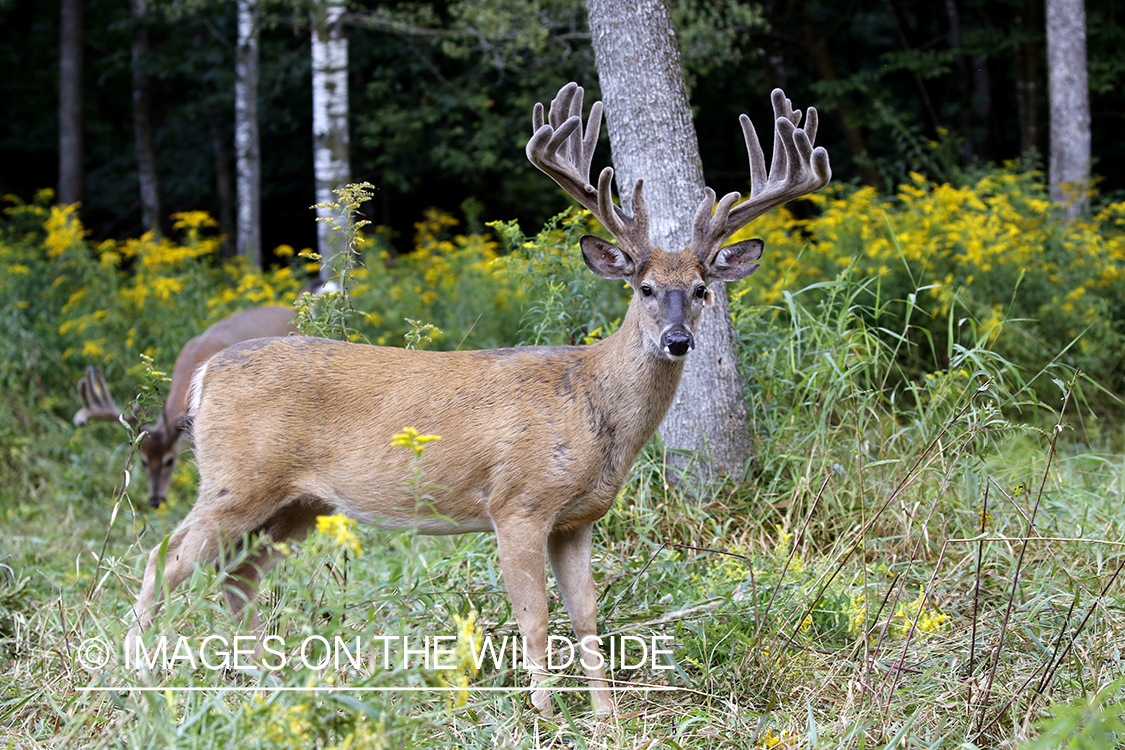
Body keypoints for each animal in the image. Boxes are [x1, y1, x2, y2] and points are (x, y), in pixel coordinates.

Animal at [125, 82, 828, 715]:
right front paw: (544, 716)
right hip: (236, 479)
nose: (679, 340)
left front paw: (605, 718)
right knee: (164, 556)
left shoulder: (578, 518)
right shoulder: (518, 502)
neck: (592, 408)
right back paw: (138, 673)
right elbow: (536, 620)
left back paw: (259, 679)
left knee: (236, 576)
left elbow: (588, 619)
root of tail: (205, 375)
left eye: (704, 289)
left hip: (294, 502)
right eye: (646, 287)